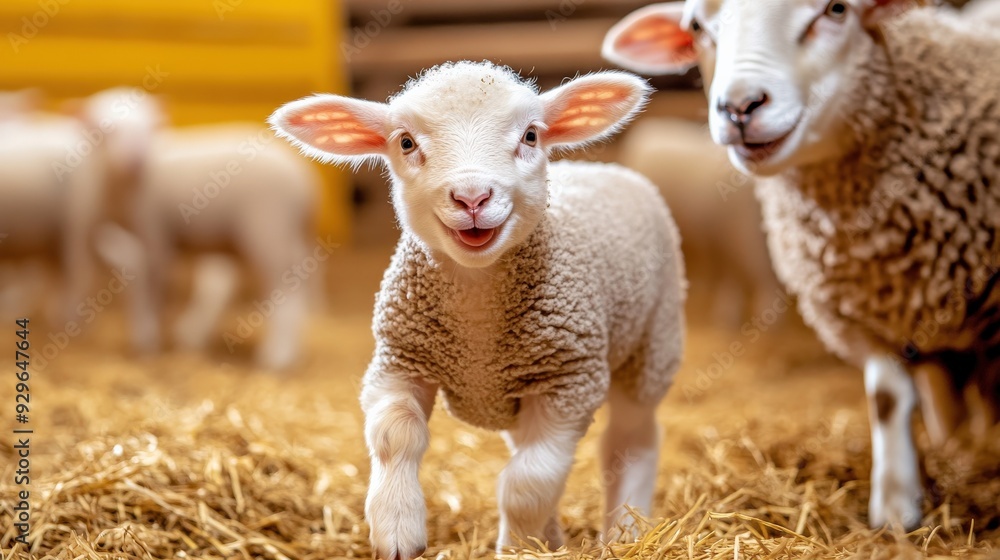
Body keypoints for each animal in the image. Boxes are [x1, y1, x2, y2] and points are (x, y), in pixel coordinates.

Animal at [79, 88, 320, 370]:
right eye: (105, 129)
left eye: (149, 128)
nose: (134, 159)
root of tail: (304, 182)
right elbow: (140, 284)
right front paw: (146, 334)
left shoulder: (155, 230)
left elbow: (155, 284)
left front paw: (152, 338)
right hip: (278, 235)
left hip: (267, 230)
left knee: (283, 290)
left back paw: (277, 356)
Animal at [269, 61, 686, 558]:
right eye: (405, 142)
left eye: (530, 136)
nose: (471, 197)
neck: (477, 311)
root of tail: (603, 167)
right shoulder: (400, 359)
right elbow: (395, 438)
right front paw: (396, 529)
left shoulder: (570, 380)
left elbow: (529, 482)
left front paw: (518, 546)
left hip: (651, 345)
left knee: (631, 439)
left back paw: (627, 528)